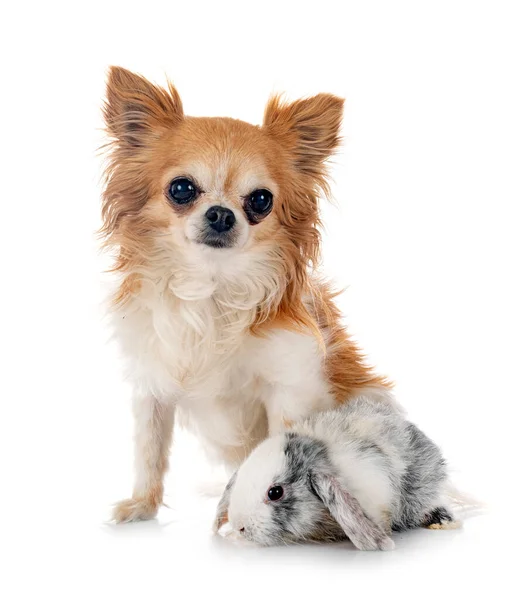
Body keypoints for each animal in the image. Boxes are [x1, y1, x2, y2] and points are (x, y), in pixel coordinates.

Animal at [100, 68, 390, 524]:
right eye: (181, 189)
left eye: (261, 200)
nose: (221, 214)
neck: (213, 288)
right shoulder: (153, 386)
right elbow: (149, 451)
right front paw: (142, 506)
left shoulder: (288, 387)